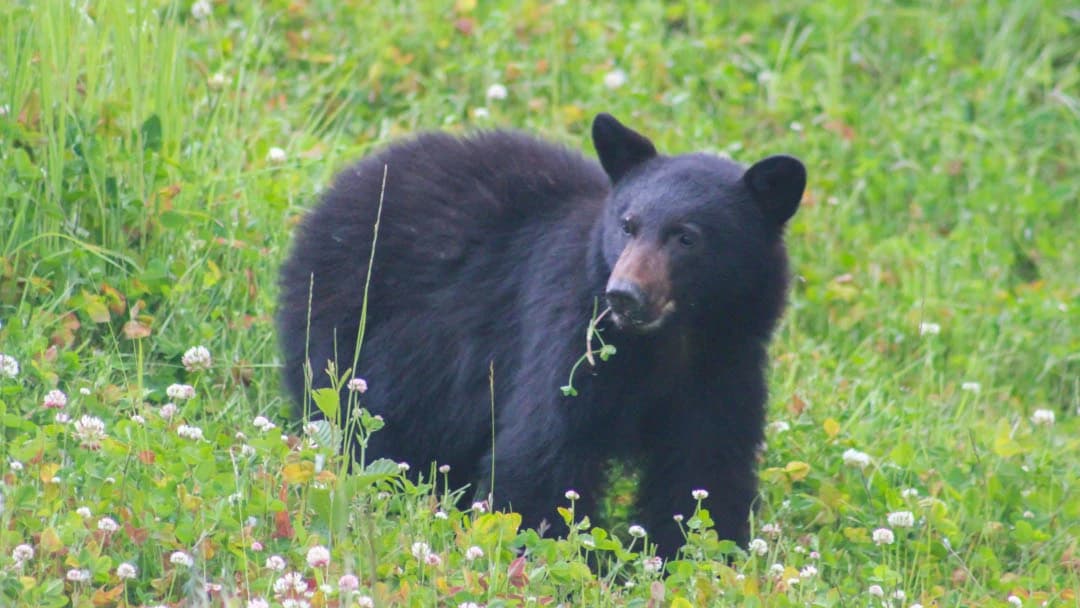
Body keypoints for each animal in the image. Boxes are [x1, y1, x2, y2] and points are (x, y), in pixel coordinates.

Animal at [276, 113, 805, 559]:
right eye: (628, 225)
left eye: (687, 237)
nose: (624, 295)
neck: (666, 344)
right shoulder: (566, 335)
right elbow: (543, 448)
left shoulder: (724, 364)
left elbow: (704, 466)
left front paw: (697, 556)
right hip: (360, 336)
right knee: (373, 428)